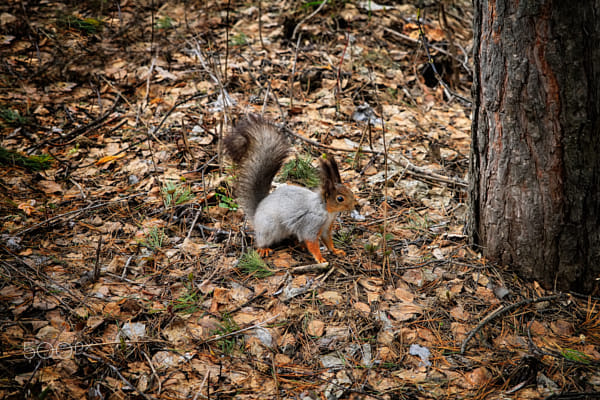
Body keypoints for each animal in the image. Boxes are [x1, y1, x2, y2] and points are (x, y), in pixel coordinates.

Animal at [224, 114, 356, 264]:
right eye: (340, 198)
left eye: (349, 190)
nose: (354, 205)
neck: (326, 210)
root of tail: (256, 213)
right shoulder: (311, 224)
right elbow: (312, 242)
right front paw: (320, 258)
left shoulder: (326, 228)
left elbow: (328, 241)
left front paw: (336, 251)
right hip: (269, 227)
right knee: (261, 241)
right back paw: (264, 248)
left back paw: (298, 244)